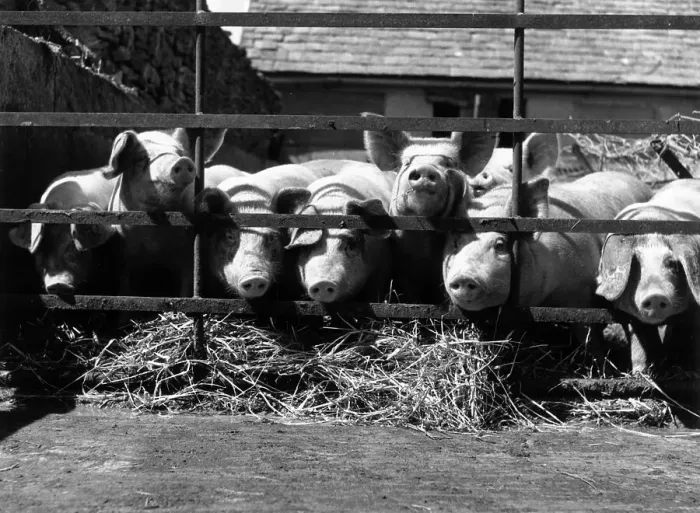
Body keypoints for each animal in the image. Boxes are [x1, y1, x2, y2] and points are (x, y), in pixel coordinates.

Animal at [443, 171, 653, 348]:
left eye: (500, 245)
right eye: (456, 243)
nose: (464, 277)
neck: (543, 300)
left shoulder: (582, 295)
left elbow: (589, 337)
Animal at [595, 178, 700, 374]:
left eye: (673, 264)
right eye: (635, 265)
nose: (656, 295)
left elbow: (687, 334)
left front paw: (688, 371)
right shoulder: (627, 313)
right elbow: (640, 338)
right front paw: (640, 372)